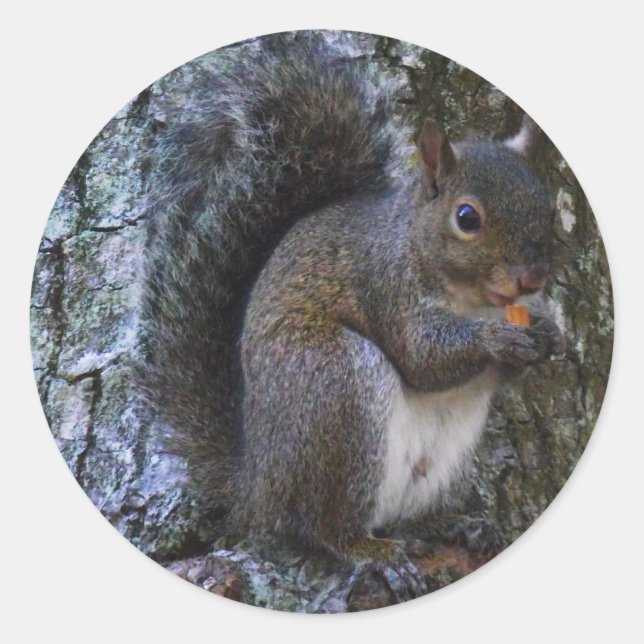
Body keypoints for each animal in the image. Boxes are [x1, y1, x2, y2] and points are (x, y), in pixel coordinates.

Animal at [140, 31, 565, 566]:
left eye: (548, 211)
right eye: (467, 218)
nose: (532, 279)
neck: (470, 299)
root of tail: (257, 490)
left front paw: (548, 335)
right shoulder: (384, 283)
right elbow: (422, 358)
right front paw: (497, 339)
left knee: (404, 516)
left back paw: (451, 525)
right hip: (337, 385)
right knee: (323, 527)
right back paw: (370, 550)